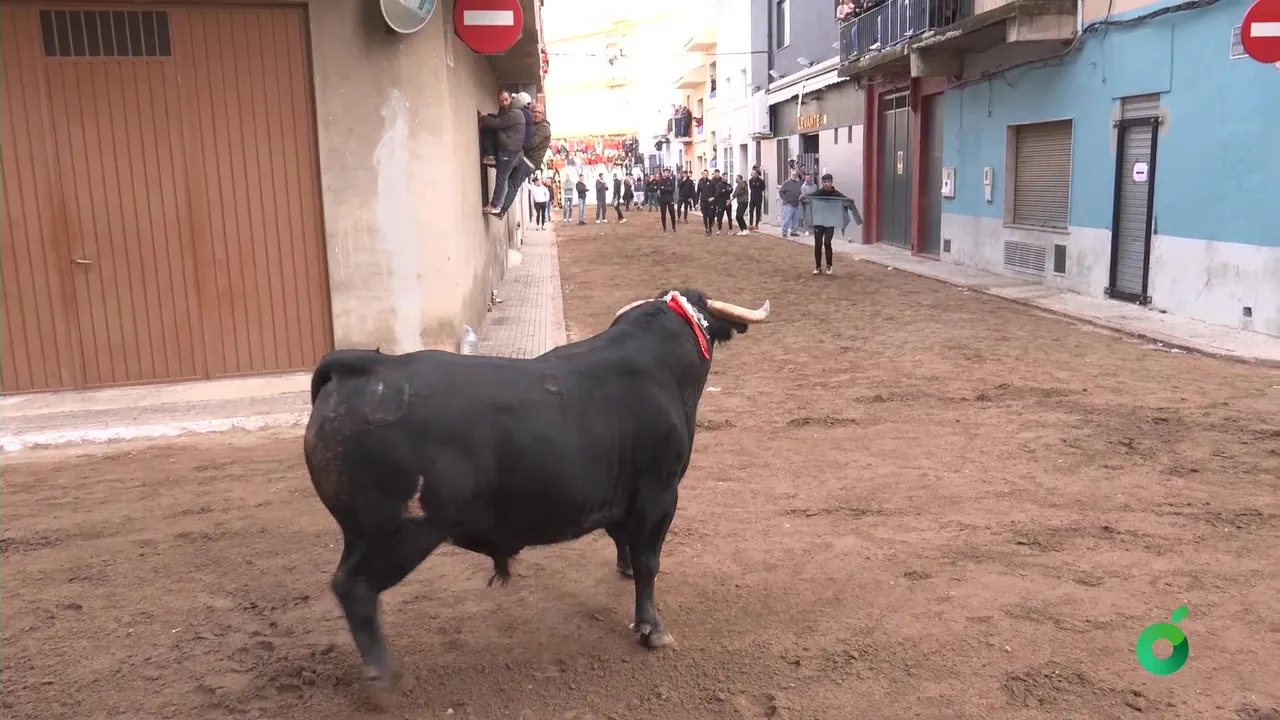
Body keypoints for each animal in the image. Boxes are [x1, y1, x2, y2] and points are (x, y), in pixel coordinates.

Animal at [302, 288, 770, 694]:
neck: (662, 368)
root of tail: (364, 367)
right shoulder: (660, 493)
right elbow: (648, 561)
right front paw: (651, 629)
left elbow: (625, 543)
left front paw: (624, 570)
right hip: (401, 533)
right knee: (355, 589)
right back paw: (383, 674)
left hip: (364, 535)